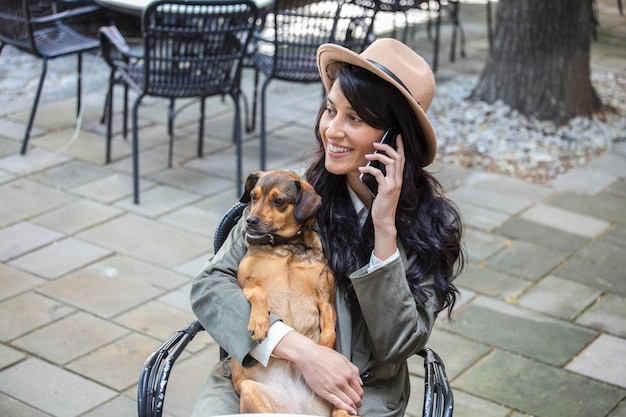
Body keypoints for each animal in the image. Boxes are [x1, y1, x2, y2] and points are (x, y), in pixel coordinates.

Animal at [230, 170, 348, 416]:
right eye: (253, 197)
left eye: (278, 201)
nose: (250, 221)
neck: (286, 247)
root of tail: (298, 408)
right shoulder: (244, 285)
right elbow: (259, 291)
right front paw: (259, 323)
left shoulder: (325, 298)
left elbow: (329, 332)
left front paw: (323, 351)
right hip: (250, 391)